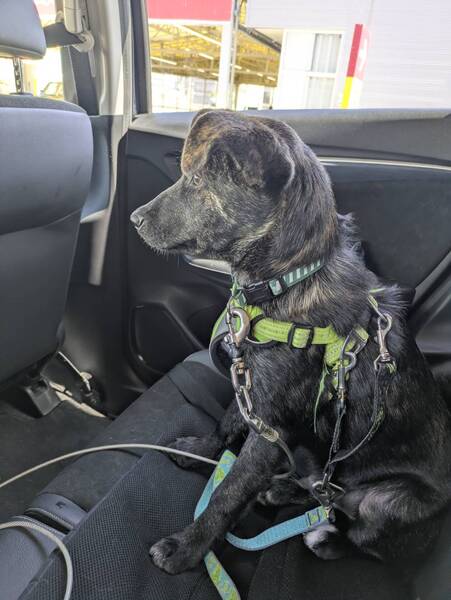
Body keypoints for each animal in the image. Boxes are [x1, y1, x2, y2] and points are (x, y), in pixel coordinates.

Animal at [131, 109, 451, 576]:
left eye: (197, 182)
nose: (134, 218)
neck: (289, 278)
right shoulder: (253, 385)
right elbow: (229, 420)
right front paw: (200, 449)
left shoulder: (271, 427)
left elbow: (229, 492)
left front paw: (187, 547)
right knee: (325, 490)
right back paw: (284, 490)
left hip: (388, 502)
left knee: (356, 532)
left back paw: (323, 536)